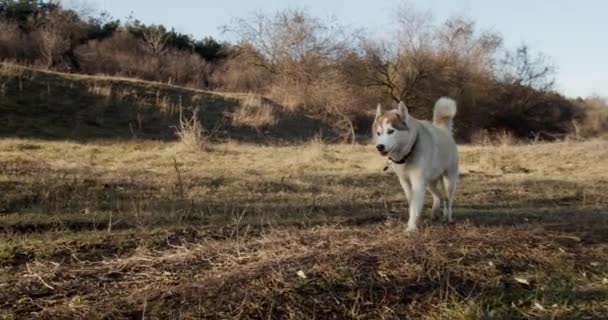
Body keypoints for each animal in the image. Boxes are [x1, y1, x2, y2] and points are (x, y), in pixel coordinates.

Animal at [372, 97, 458, 232]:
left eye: (391, 131)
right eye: (378, 133)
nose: (380, 147)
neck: (408, 152)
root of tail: (444, 131)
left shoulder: (418, 182)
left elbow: (414, 205)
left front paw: (411, 227)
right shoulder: (405, 182)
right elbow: (411, 202)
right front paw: (415, 222)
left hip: (449, 181)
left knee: (448, 200)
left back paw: (448, 218)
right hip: (430, 183)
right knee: (438, 196)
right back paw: (434, 214)